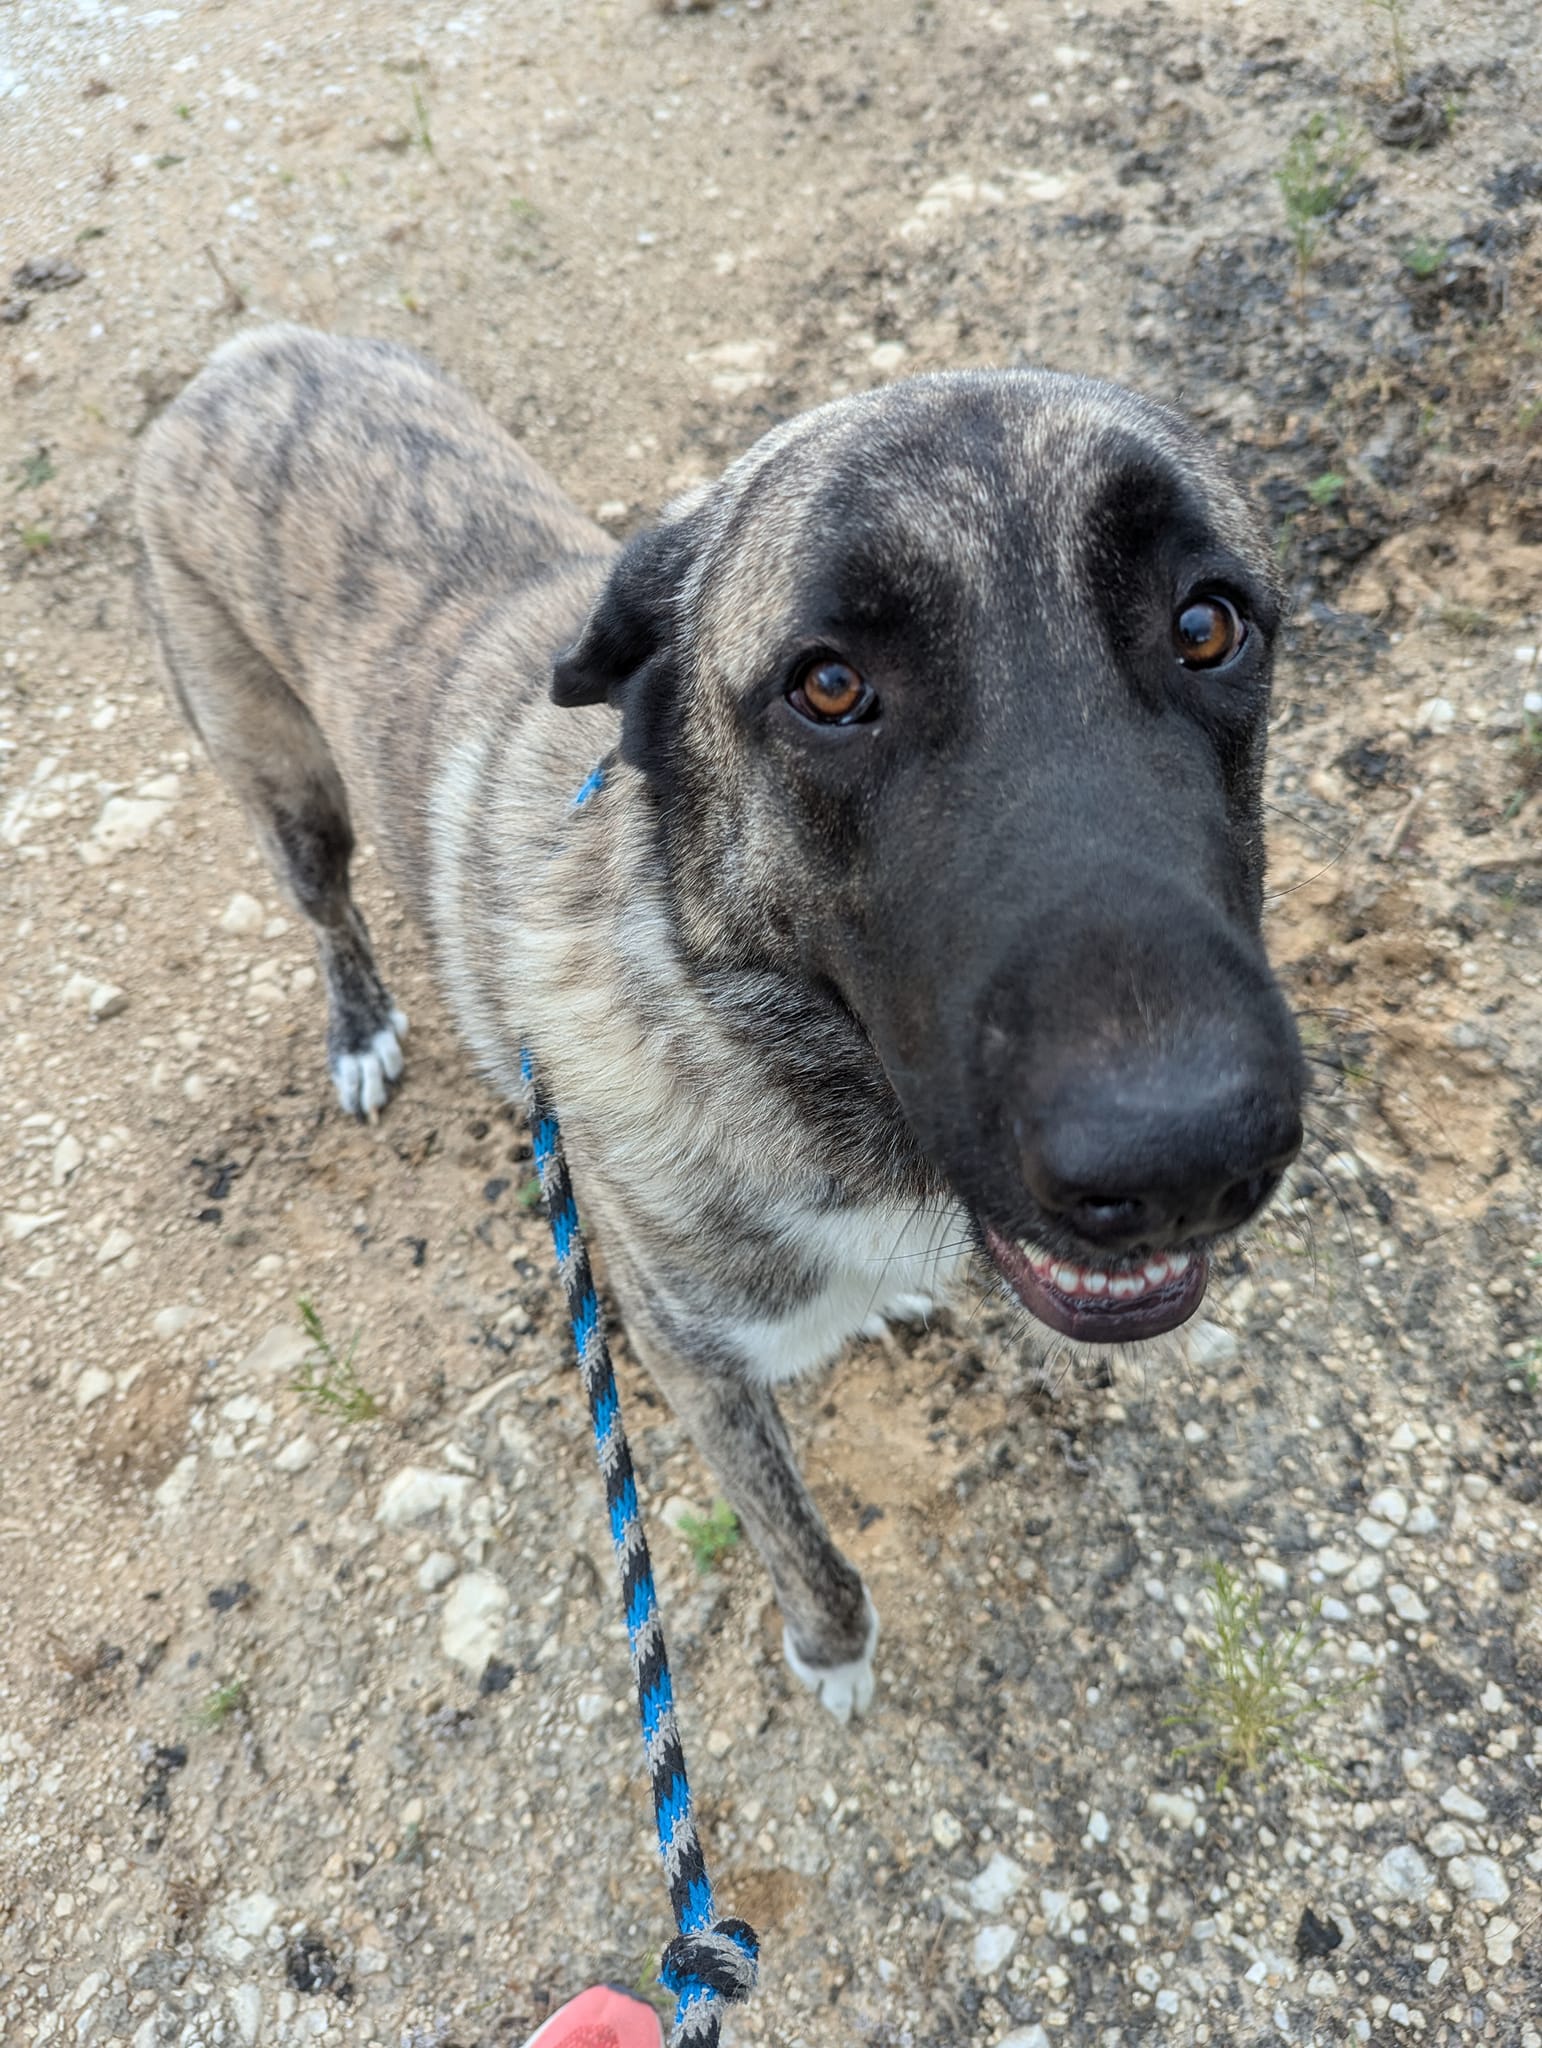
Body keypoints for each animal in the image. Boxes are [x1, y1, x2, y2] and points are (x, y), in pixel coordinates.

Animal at [135, 327, 1302, 1720]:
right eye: (830, 685)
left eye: (1207, 624)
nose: (1182, 1156)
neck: (767, 1050)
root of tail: (250, 352)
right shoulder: (693, 1365)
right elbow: (799, 1535)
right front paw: (834, 1645)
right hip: (286, 793)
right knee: (327, 910)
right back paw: (358, 1022)